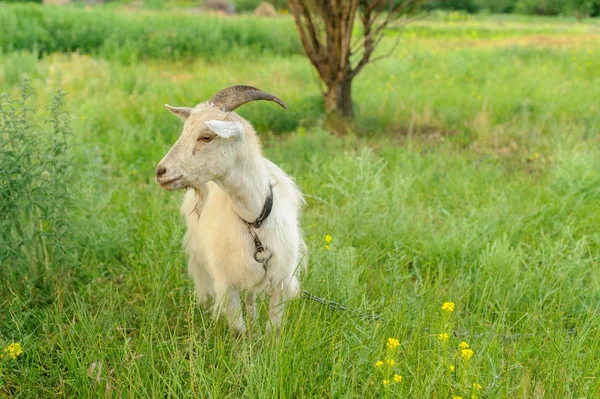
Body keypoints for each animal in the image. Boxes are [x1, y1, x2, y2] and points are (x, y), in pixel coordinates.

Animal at [156, 86, 304, 334]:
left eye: (206, 136)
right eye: (184, 131)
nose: (160, 172)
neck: (254, 220)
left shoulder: (280, 278)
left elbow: (273, 329)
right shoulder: (227, 281)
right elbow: (237, 330)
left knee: (251, 297)